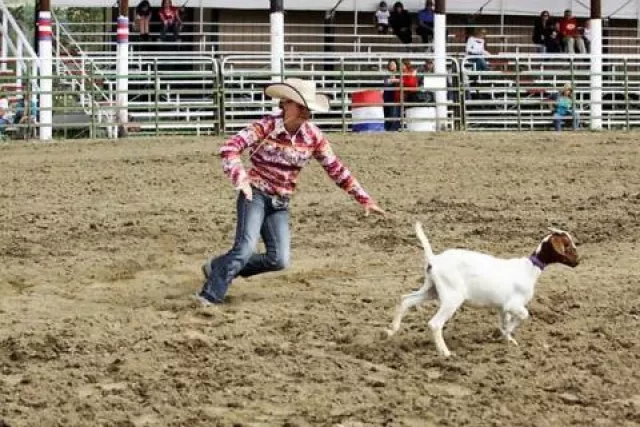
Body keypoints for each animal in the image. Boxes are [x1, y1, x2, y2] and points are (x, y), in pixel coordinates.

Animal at [384, 222, 580, 356]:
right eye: (568, 245)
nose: (578, 262)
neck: (529, 268)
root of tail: (434, 259)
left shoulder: (503, 308)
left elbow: (504, 322)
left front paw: (507, 339)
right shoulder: (513, 305)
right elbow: (524, 316)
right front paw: (507, 334)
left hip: (431, 290)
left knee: (406, 299)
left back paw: (392, 330)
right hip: (452, 298)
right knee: (434, 323)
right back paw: (445, 353)